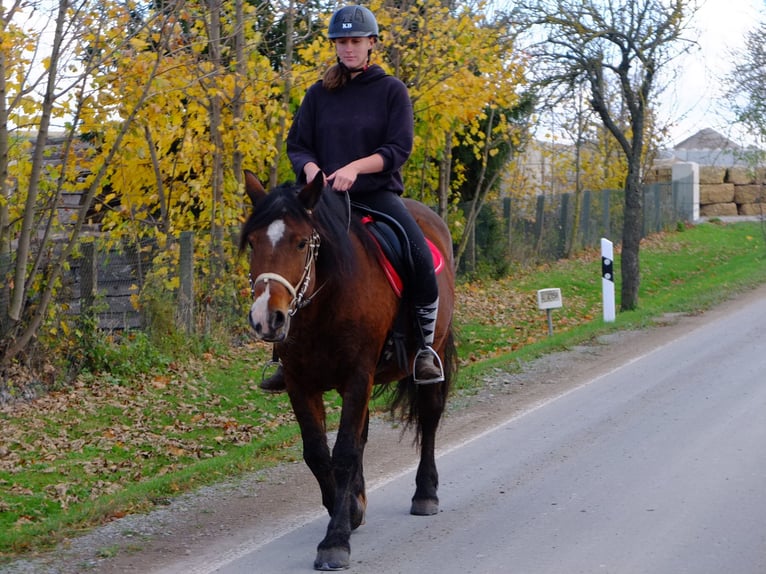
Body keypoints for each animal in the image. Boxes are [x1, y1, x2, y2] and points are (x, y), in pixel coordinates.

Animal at [240, 170, 456, 572]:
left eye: (300, 243)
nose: (266, 319)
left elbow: (343, 454)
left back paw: (425, 493)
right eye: (253, 242)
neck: (326, 301)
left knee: (429, 416)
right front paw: (349, 509)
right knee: (362, 435)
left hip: (427, 356)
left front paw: (335, 541)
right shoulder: (300, 383)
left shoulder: (358, 376)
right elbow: (317, 452)